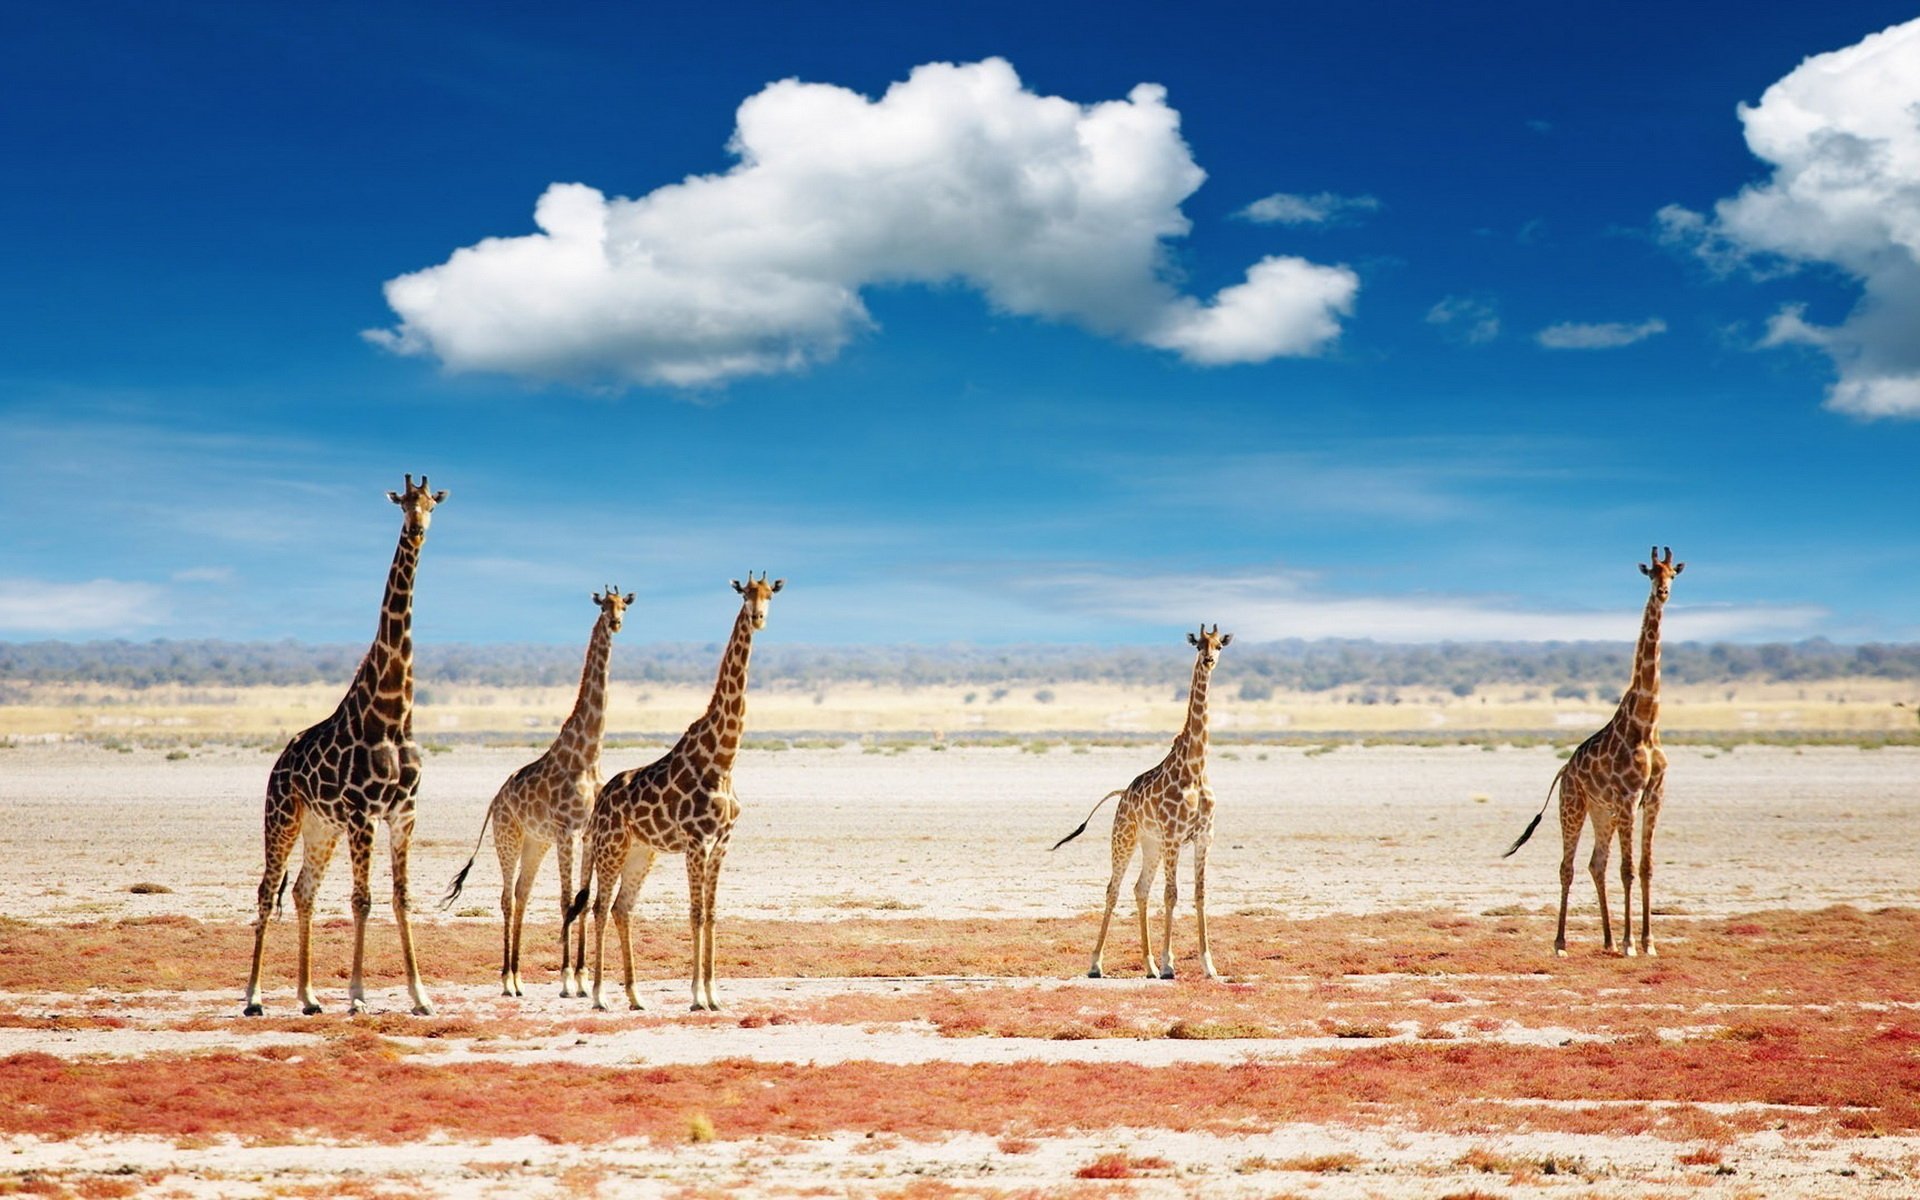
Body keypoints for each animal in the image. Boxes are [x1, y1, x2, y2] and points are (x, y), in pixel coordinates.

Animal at [243, 475, 447, 1017]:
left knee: (302, 891)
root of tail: (279, 762)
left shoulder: (403, 813)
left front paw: (421, 996)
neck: (392, 715)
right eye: (403, 503)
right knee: (267, 889)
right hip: (283, 815)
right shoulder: (362, 813)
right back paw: (253, 997)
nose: (417, 530)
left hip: (321, 827)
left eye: (431, 503)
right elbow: (363, 900)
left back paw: (309, 996)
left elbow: (400, 898)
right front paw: (357, 995)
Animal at [442, 587, 633, 997]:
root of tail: (495, 800)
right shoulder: (567, 831)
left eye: (624, 605)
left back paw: (517, 977)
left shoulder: (587, 833)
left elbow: (583, 900)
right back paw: (507, 979)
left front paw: (581, 977)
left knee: (521, 894)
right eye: (603, 606)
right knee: (506, 897)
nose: (616, 623)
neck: (588, 754)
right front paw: (566, 978)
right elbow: (565, 900)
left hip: (535, 842)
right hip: (508, 836)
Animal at [565, 573, 782, 1011]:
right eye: (745, 594)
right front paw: (698, 996)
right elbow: (695, 913)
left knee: (622, 909)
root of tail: (599, 806)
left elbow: (711, 913)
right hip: (612, 847)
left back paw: (635, 996)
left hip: (641, 852)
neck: (723, 760)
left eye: (770, 594)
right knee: (599, 907)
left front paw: (715, 995)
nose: (759, 617)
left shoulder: (721, 843)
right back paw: (599, 995)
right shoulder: (697, 842)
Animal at [1053, 624, 1232, 980]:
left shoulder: (1204, 837)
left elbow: (1200, 894)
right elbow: (1172, 894)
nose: (1209, 661)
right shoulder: (1175, 836)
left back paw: (1147, 966)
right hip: (1125, 836)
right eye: (1199, 645)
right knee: (1114, 888)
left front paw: (1209, 966)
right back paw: (1096, 964)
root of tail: (1123, 793)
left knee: (1140, 888)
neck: (1196, 768)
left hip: (1150, 844)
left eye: (1219, 645)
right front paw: (1169, 965)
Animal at [1505, 546, 1684, 958]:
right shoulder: (1629, 796)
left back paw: (1606, 940)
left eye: (1674, 574)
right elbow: (1628, 869)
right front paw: (1631, 943)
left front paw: (1648, 943)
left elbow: (1646, 867)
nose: (1663, 592)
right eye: (1651, 573)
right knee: (1568, 867)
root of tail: (1564, 770)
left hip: (1602, 812)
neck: (1646, 723)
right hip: (1573, 805)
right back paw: (1561, 943)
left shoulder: (1654, 796)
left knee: (1595, 864)